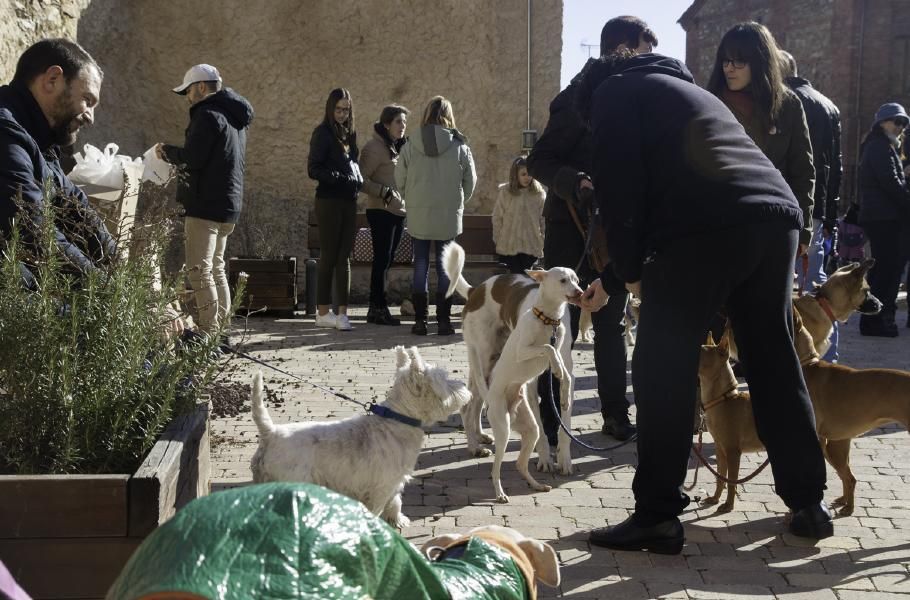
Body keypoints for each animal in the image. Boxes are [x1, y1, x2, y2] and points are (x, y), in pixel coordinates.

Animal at [253, 344, 474, 528]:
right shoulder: (380, 487)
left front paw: (398, 520)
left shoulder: (394, 481)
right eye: (444, 379)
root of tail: (270, 433)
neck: (398, 418)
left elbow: (395, 502)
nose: (464, 385)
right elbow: (377, 508)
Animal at [448, 240, 588, 502]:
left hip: (491, 364)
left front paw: (564, 459)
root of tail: (476, 291)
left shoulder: (569, 372)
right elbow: (541, 428)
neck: (549, 318)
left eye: (576, 279)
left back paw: (480, 435)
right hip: (484, 357)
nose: (580, 293)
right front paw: (544, 458)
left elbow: (564, 415)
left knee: (477, 401)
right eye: (563, 280)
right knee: (469, 405)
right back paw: (473, 445)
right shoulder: (532, 383)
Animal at [700, 332, 764, 510]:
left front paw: (728, 505)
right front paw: (715, 499)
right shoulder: (720, 450)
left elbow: (731, 482)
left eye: (700, 352)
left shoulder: (733, 451)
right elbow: (720, 477)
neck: (723, 400)